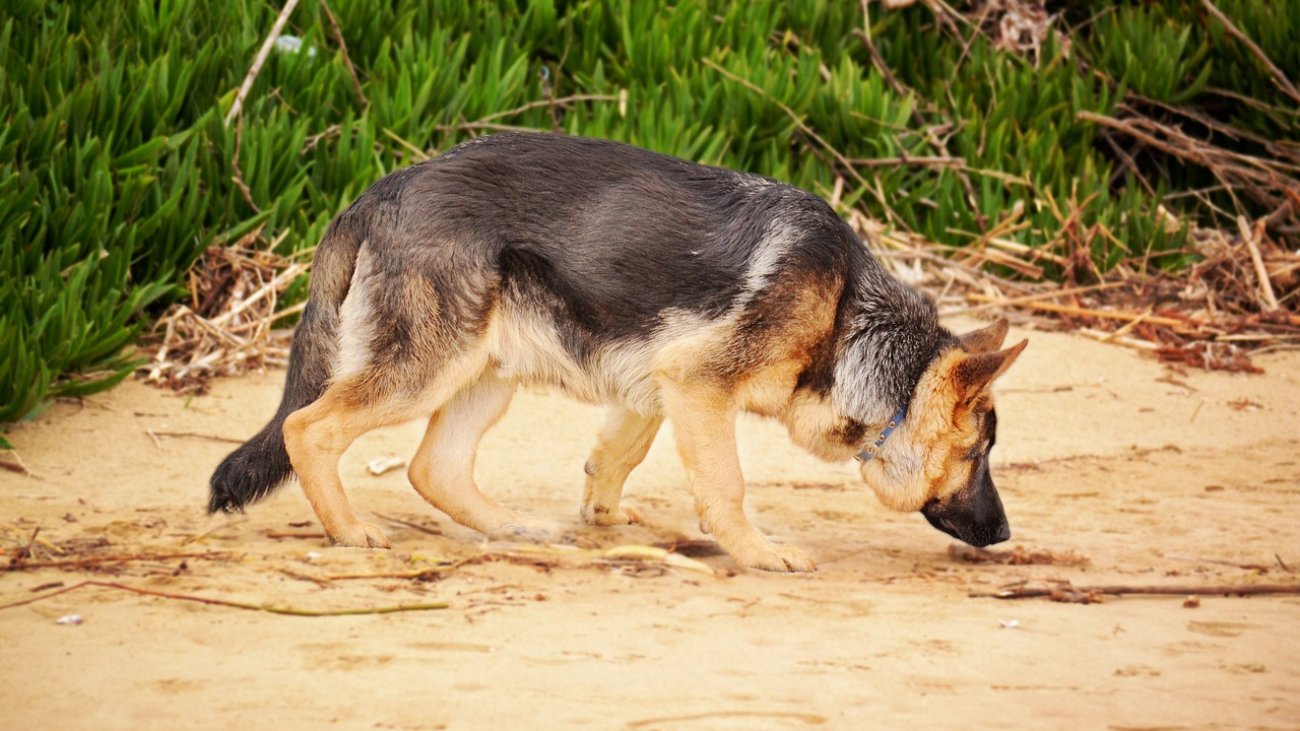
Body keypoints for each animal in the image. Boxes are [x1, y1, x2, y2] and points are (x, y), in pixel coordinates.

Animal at [210, 133, 1024, 572]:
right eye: (978, 454)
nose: (1006, 533)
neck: (850, 318)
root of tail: (377, 191)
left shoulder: (659, 383)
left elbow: (616, 457)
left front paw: (601, 517)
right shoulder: (698, 384)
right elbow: (726, 486)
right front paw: (757, 551)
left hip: (485, 372)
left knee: (432, 467)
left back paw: (511, 528)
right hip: (425, 370)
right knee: (306, 428)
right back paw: (349, 532)